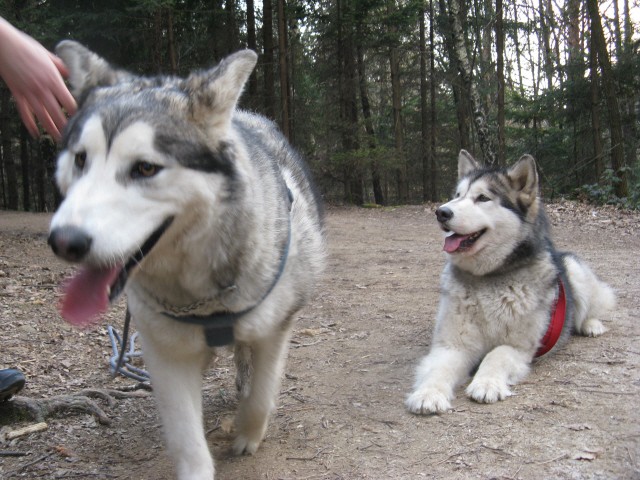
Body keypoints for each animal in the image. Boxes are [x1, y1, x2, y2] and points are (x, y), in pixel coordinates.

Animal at [47, 42, 324, 480]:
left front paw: (247, 433)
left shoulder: (276, 328)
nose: (64, 241)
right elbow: (186, 440)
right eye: (80, 160)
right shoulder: (166, 353)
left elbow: (262, 395)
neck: (204, 297)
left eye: (145, 167)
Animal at [404, 151, 616, 416]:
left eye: (482, 198)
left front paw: (486, 383)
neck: (489, 278)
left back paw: (591, 324)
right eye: (457, 195)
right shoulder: (452, 345)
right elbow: (439, 369)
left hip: (575, 271)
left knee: (590, 308)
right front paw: (428, 394)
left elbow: (496, 354)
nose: (441, 212)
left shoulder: (519, 347)